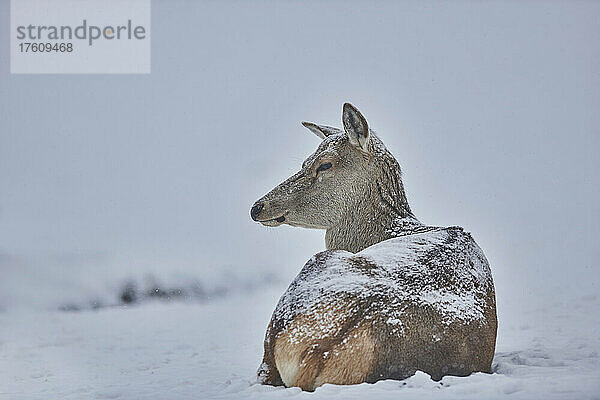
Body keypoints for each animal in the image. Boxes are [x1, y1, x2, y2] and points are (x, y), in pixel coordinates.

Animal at [248, 102, 496, 390]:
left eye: (324, 164)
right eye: (304, 162)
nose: (257, 207)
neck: (393, 228)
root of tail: (318, 351)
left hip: (312, 272)